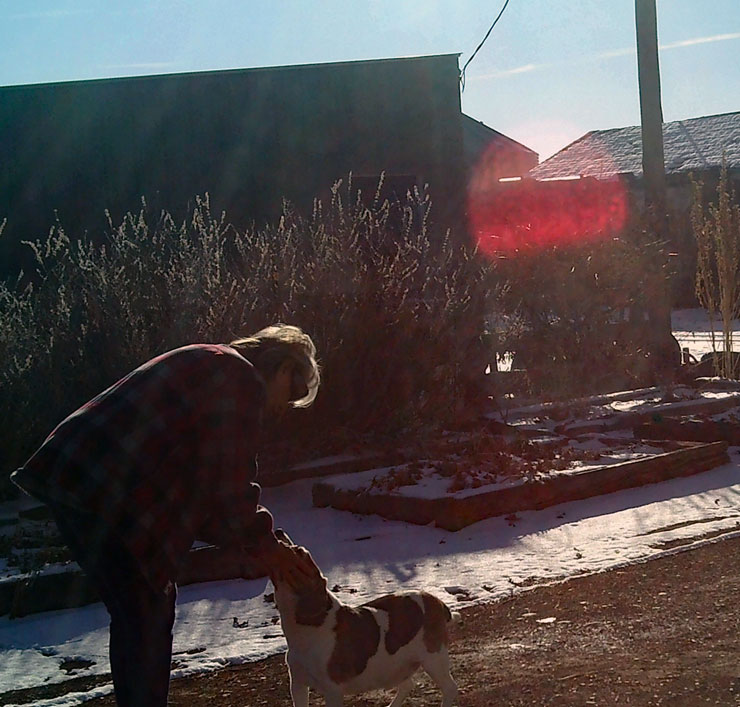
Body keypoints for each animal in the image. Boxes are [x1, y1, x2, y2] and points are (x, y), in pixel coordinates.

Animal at [270, 529, 459, 706]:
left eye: (299, 551)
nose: (278, 531)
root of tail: (438, 601)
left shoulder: (332, 690)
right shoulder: (298, 685)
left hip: (433, 659)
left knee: (450, 688)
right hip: (396, 668)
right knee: (408, 685)